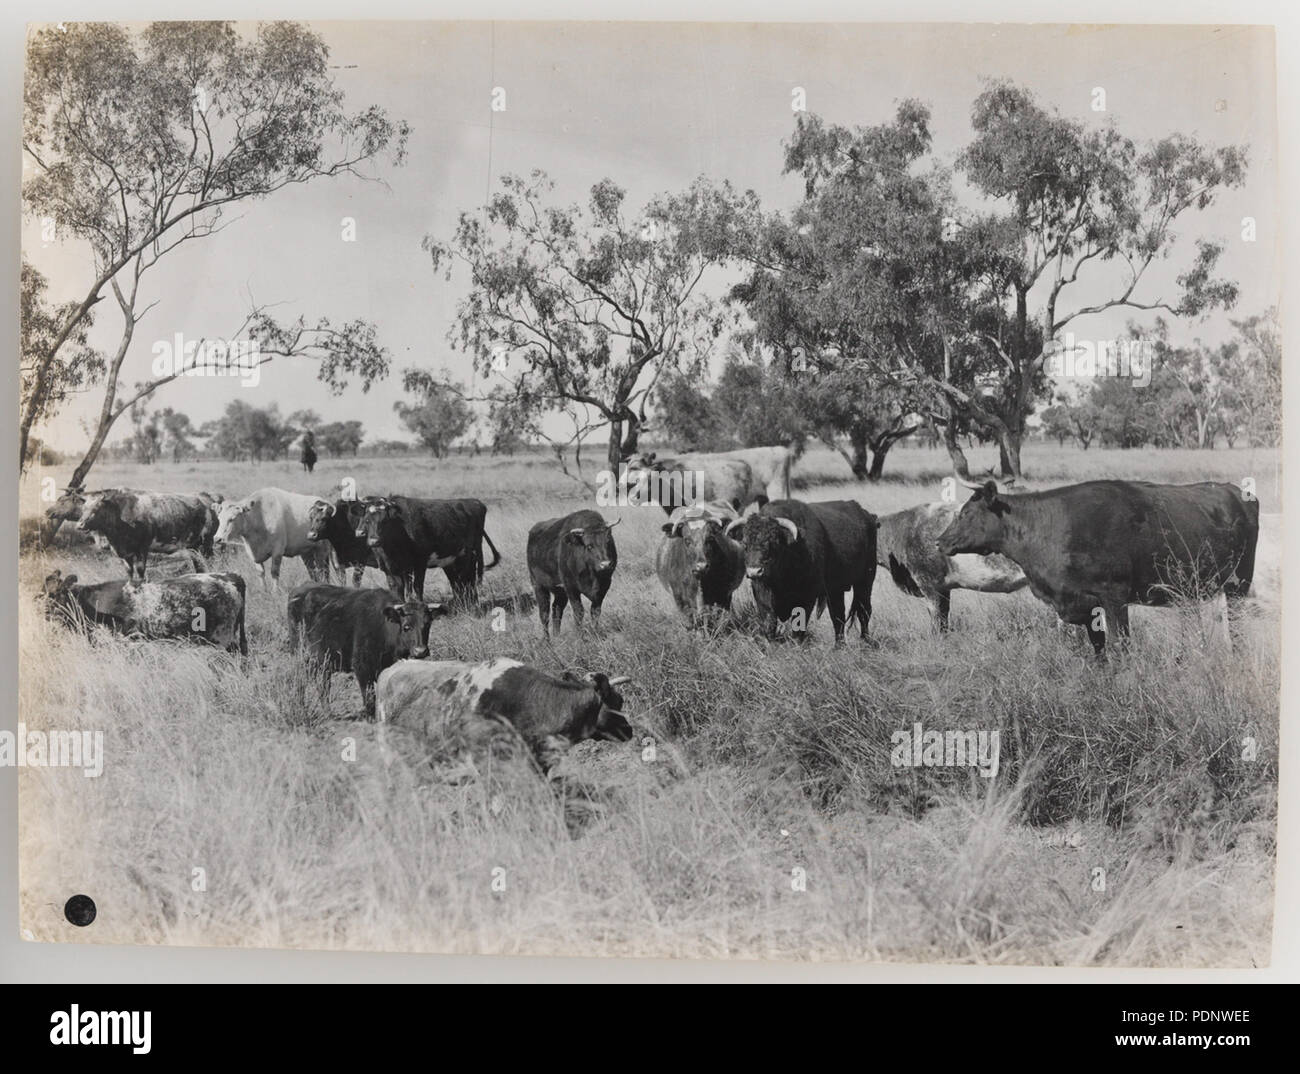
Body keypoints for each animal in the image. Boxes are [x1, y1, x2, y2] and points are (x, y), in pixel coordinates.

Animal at [76, 490, 221, 580]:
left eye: (96, 509)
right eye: (83, 509)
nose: (79, 525)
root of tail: (205, 499)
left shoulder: (142, 548)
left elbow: (140, 571)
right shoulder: (125, 553)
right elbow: (129, 572)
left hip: (207, 543)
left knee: (210, 562)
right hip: (194, 546)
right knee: (199, 563)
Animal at [286, 584, 448, 716]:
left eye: (427, 625)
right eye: (406, 626)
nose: (421, 651)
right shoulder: (362, 667)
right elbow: (369, 697)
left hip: (322, 663)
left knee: (323, 685)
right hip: (301, 657)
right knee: (301, 682)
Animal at [353, 495, 501, 604]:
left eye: (384, 521)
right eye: (367, 520)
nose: (374, 541)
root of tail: (474, 502)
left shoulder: (419, 563)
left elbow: (417, 586)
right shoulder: (389, 568)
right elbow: (396, 588)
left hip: (469, 555)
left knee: (468, 578)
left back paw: (471, 603)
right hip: (452, 560)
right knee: (457, 581)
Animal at [726, 498, 877, 645]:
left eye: (773, 543)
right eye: (745, 544)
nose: (754, 571)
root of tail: (865, 514)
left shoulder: (807, 597)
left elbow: (799, 624)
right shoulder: (761, 593)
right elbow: (769, 621)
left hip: (865, 581)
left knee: (864, 611)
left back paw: (865, 641)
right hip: (835, 589)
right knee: (838, 615)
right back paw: (839, 646)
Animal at [936, 480, 1260, 654]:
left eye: (966, 513)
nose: (940, 541)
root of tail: (1234, 491)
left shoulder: (1114, 597)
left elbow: (1119, 646)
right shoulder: (1085, 604)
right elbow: (1099, 647)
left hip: (1238, 585)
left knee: (1238, 631)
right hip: (1188, 591)